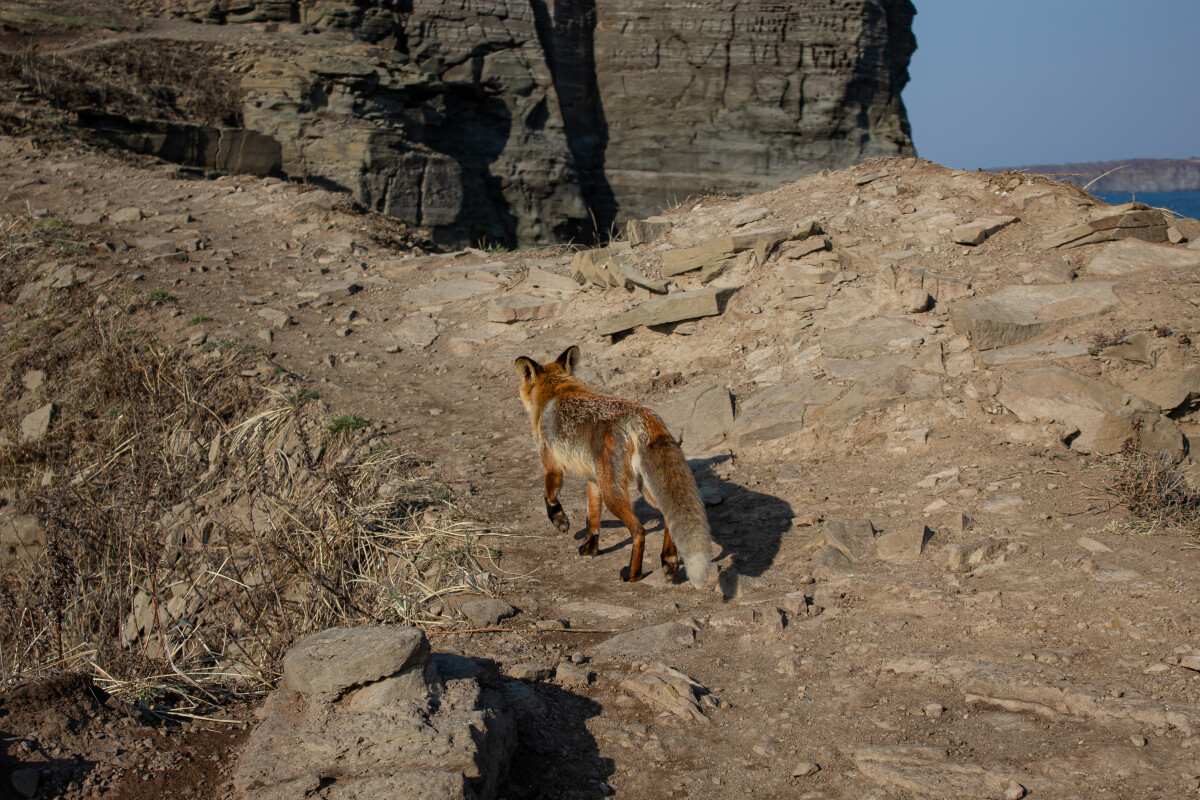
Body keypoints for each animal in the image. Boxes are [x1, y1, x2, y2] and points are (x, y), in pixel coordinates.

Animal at [513, 345, 710, 587]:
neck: (556, 392)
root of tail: (642, 414)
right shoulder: (593, 479)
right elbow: (592, 518)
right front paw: (590, 548)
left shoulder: (552, 466)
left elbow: (549, 496)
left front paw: (560, 520)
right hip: (640, 487)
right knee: (667, 518)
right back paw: (669, 563)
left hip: (613, 491)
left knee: (639, 531)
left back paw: (633, 574)